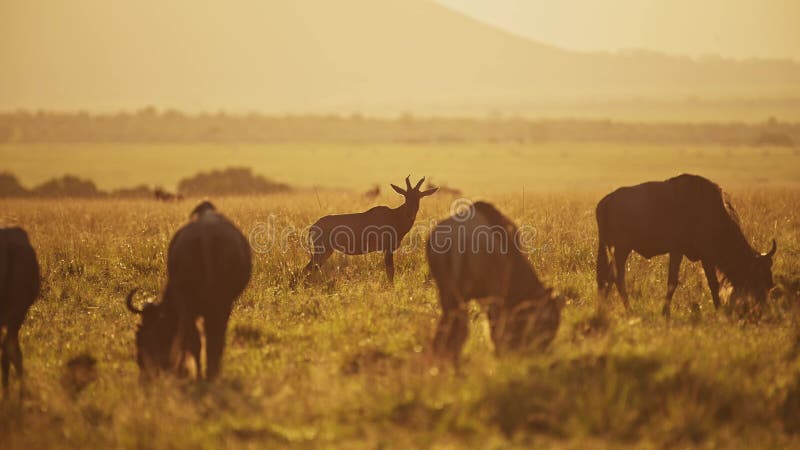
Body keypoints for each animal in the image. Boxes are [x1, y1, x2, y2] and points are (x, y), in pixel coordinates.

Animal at [304, 175, 438, 284]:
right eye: (405, 196)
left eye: (419, 196)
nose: (410, 214)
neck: (394, 215)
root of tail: (313, 227)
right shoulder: (388, 249)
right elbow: (390, 271)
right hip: (322, 251)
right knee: (307, 269)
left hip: (325, 252)